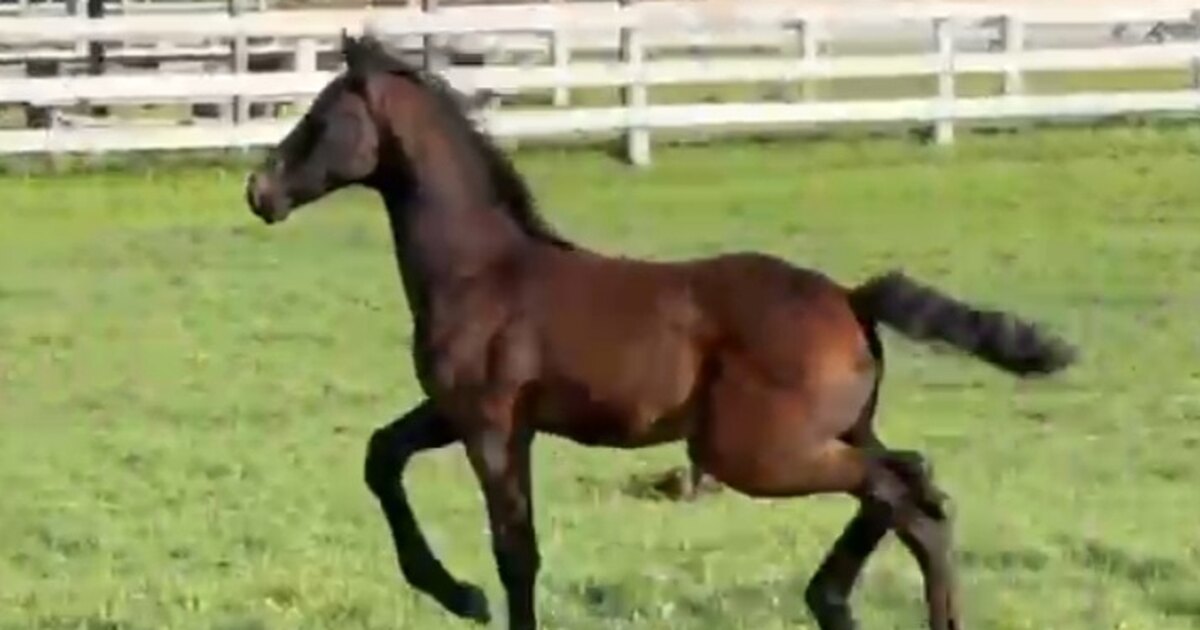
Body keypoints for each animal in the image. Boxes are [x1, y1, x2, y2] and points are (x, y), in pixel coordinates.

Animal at [244, 34, 1077, 630]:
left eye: (320, 118)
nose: (260, 191)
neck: (482, 270)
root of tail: (850, 298)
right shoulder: (455, 413)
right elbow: (382, 457)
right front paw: (460, 596)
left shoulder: (490, 425)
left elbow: (516, 550)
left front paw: (473, 597)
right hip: (827, 433)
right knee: (915, 490)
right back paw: (836, 601)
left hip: (754, 451)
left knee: (904, 490)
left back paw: (837, 601)